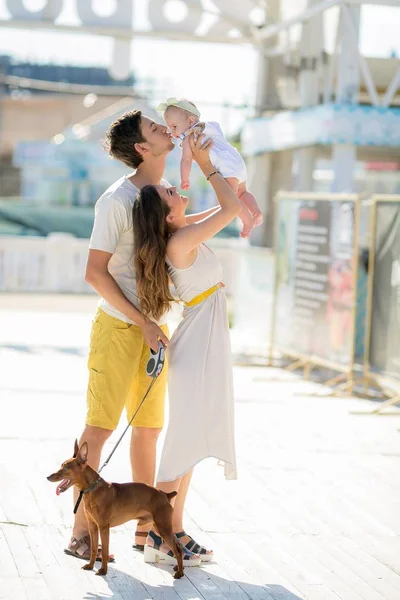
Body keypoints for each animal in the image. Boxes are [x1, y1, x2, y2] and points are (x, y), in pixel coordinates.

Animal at [48, 440, 184, 576]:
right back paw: (178, 568)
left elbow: (104, 550)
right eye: (61, 466)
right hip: (160, 526)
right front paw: (91, 566)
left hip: (163, 528)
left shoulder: (103, 527)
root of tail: (166, 494)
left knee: (177, 549)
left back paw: (180, 573)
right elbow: (93, 549)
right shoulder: (92, 526)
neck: (93, 489)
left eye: (65, 467)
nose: (48, 477)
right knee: (178, 546)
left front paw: (103, 570)